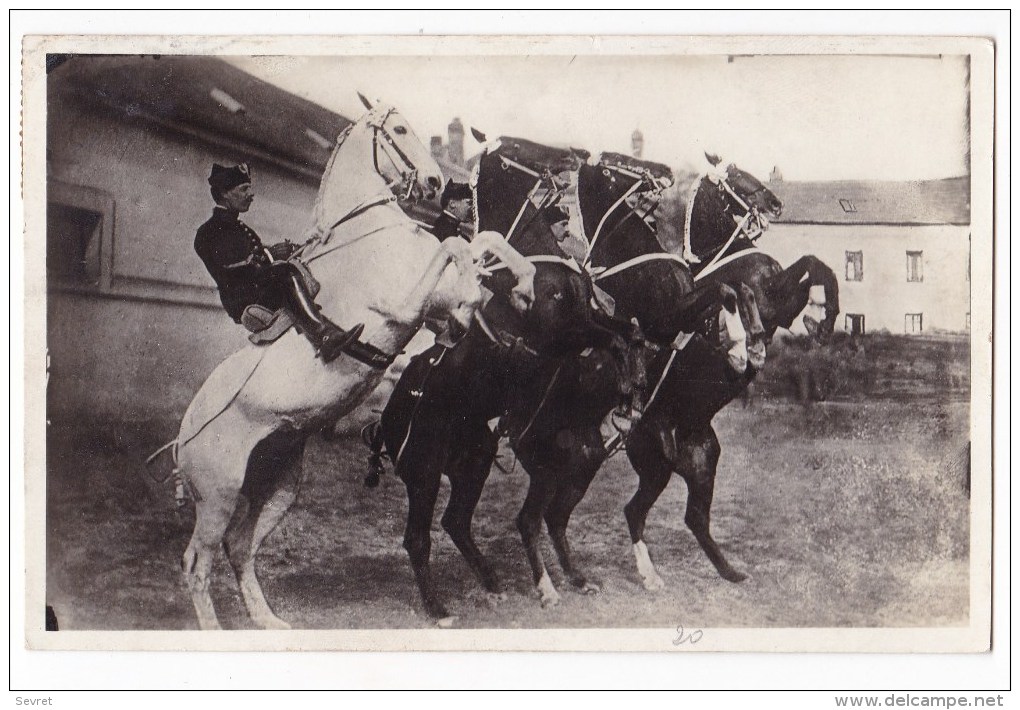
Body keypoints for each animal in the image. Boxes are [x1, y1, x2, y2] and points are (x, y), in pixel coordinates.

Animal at [172, 95, 534, 632]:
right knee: (197, 563)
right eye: (399, 129)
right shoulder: (406, 306)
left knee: (240, 548)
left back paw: (268, 621)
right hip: (218, 494)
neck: (370, 231)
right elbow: (457, 250)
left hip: (277, 485)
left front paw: (523, 286)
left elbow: (485, 241)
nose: (434, 183)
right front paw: (477, 305)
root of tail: (182, 435)